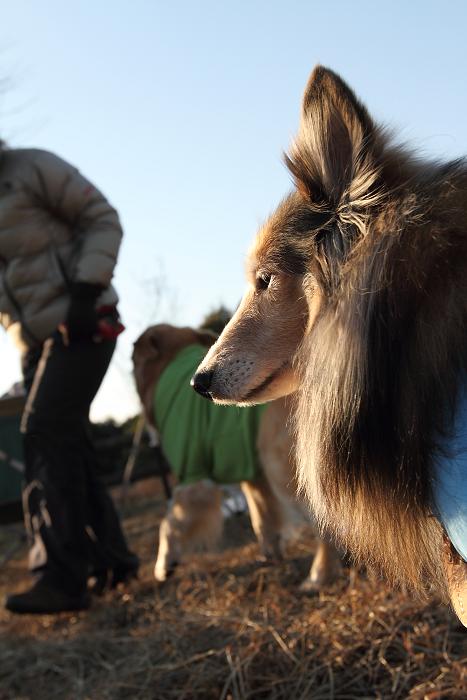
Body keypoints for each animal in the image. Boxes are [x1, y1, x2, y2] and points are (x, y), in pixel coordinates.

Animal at [132, 326, 340, 588]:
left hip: (282, 468)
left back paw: (318, 576)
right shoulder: (253, 476)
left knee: (326, 526)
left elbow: (168, 523)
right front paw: (271, 555)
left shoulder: (194, 477)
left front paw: (163, 565)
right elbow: (262, 518)